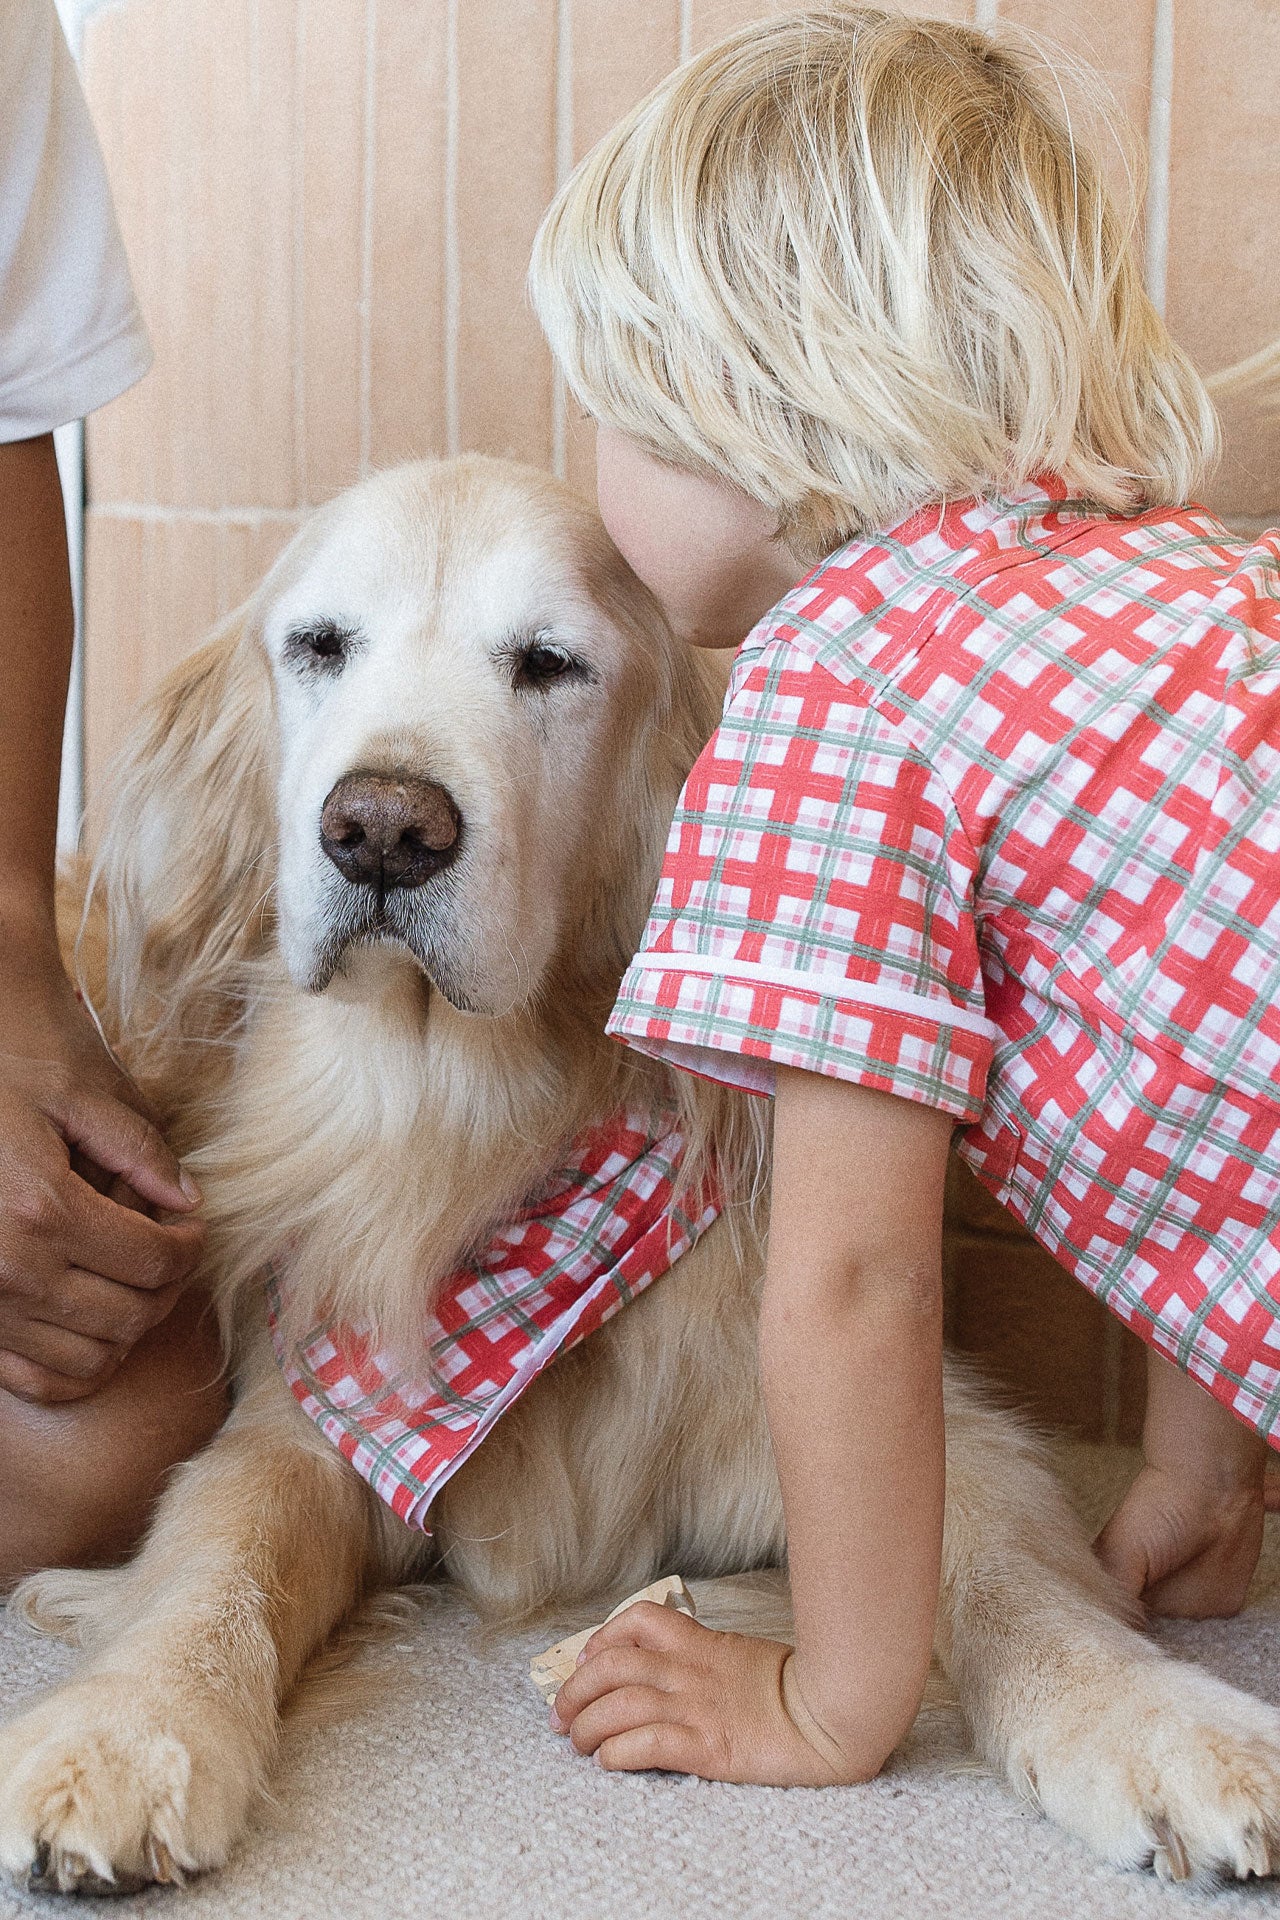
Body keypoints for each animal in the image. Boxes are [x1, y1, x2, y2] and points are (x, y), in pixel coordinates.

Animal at [2, 456, 1280, 1896]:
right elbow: (215, 1551)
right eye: (320, 646)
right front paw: (125, 1726)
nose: (381, 830)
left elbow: (1008, 1565)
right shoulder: (302, 1416)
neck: (472, 1122)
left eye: (550, 663)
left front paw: (1157, 1716)